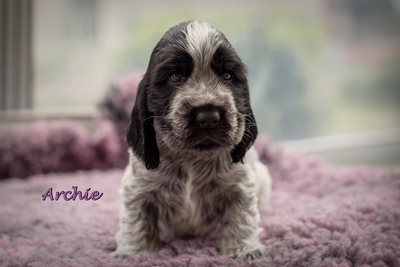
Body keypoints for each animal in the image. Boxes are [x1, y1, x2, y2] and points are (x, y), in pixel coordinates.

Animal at [114, 20, 274, 262]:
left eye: (228, 76)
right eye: (174, 76)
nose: (208, 116)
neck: (191, 158)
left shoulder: (240, 185)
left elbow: (241, 216)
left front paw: (243, 249)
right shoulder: (138, 188)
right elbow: (137, 220)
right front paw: (135, 252)